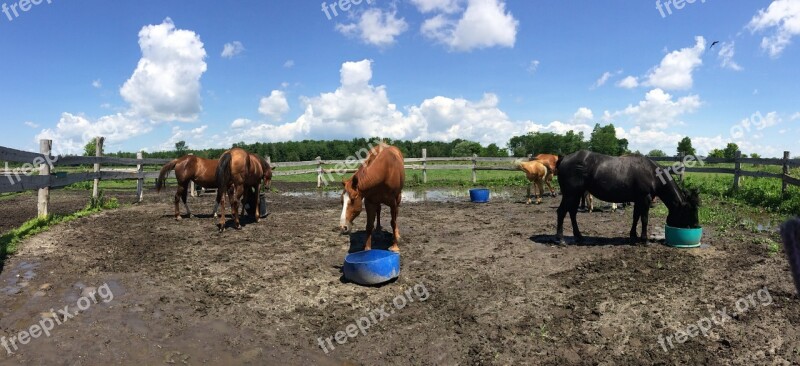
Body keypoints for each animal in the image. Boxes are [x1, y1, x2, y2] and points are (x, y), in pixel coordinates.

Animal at [556, 150, 700, 244]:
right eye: (690, 211)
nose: (696, 225)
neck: (652, 173)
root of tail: (564, 158)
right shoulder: (645, 199)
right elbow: (644, 219)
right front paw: (644, 240)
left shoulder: (638, 200)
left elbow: (636, 217)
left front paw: (633, 236)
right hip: (570, 194)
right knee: (562, 212)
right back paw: (561, 239)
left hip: (576, 194)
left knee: (572, 213)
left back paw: (579, 236)